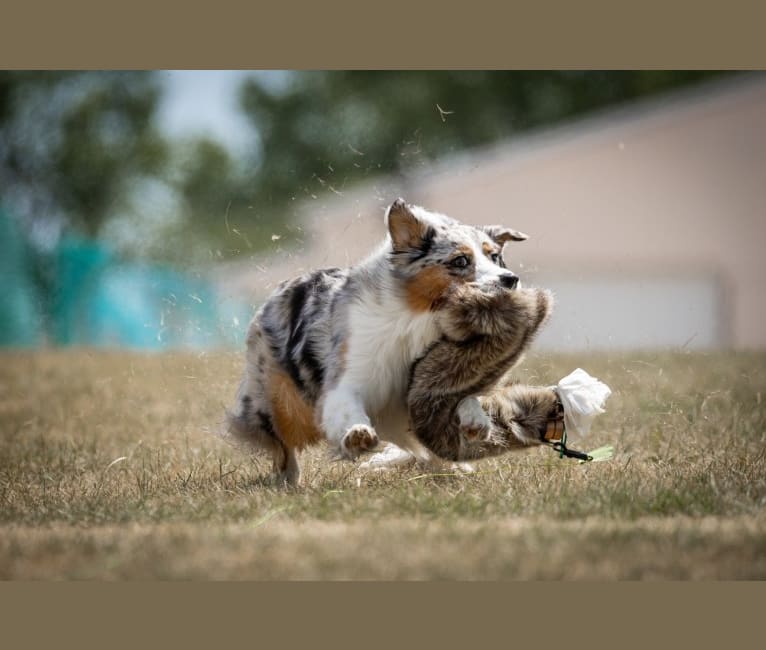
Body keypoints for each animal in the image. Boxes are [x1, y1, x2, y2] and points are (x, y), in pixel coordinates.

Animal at [225, 196, 532, 480]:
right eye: (460, 260)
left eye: (494, 256)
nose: (510, 279)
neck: (419, 319)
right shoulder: (348, 376)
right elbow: (346, 406)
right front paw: (357, 435)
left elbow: (462, 396)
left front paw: (475, 420)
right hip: (279, 402)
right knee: (281, 441)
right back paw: (289, 479)